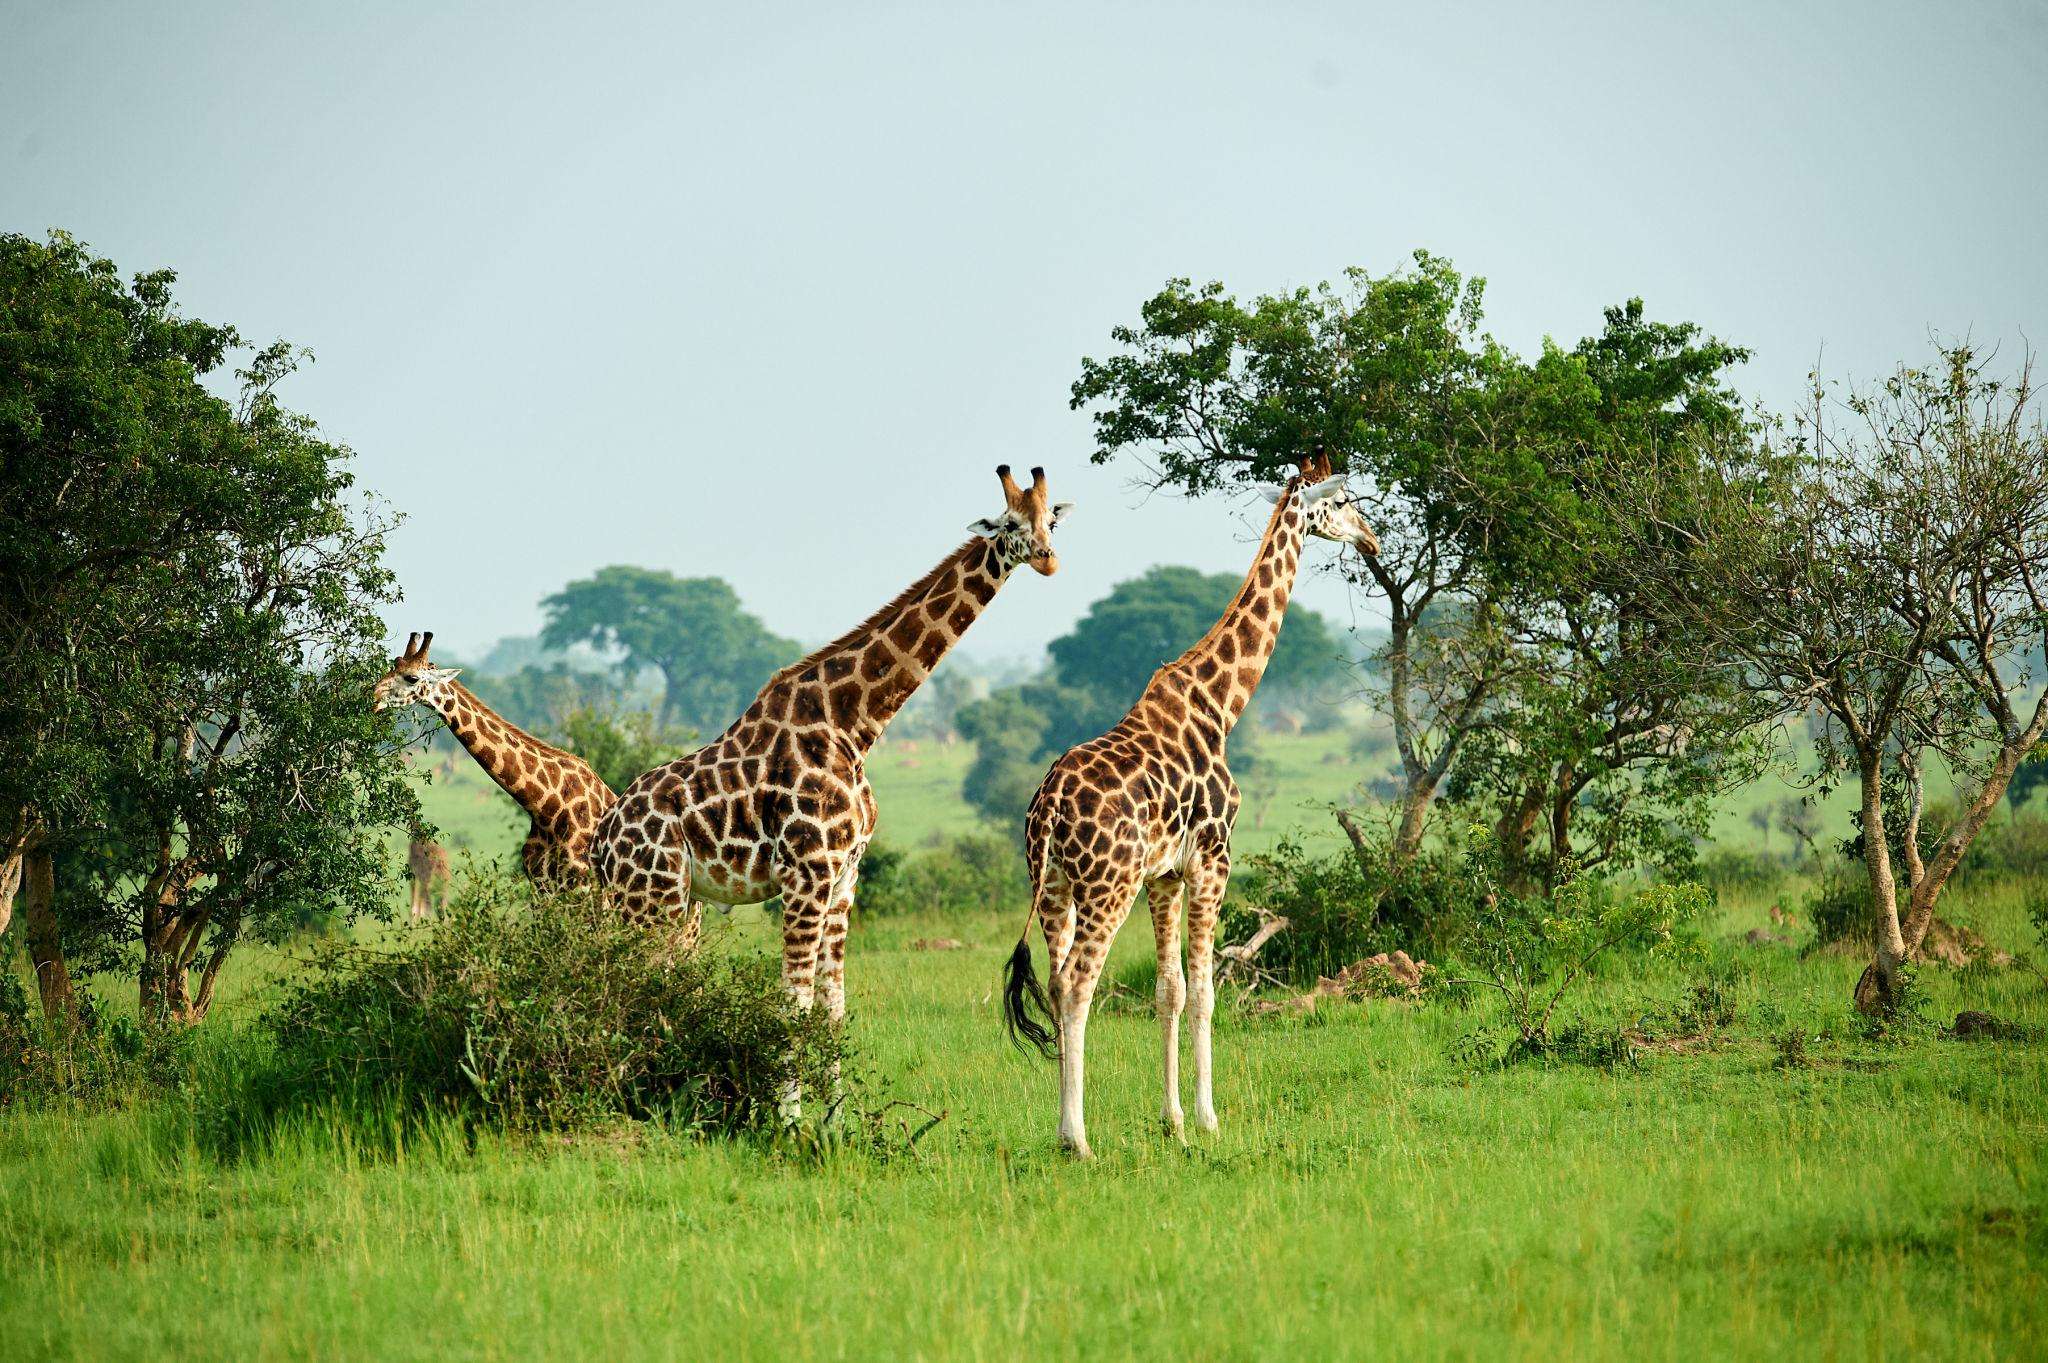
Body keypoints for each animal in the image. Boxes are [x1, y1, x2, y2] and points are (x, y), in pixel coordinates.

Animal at [373, 632, 617, 885]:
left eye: (412, 678)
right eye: (395, 663)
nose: (373, 694)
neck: (546, 808)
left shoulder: (584, 884)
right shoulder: (540, 885)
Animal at [591, 466, 1071, 1109]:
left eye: (1051, 521)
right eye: (1012, 523)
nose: (1048, 560)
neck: (855, 725)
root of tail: (603, 840)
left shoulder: (844, 879)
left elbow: (832, 1007)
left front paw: (836, 1115)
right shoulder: (807, 874)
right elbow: (792, 1007)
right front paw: (790, 1119)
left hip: (668, 901)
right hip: (653, 898)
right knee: (634, 988)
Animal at [1001, 456, 1378, 1157]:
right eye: (1342, 502)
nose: (1370, 540)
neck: (1222, 705)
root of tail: (1050, 809)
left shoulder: (1165, 875)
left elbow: (1168, 991)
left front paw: (1172, 1122)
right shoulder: (1211, 859)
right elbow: (1205, 992)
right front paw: (1208, 1119)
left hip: (1054, 886)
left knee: (1058, 982)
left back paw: (1061, 1130)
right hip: (1106, 886)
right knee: (1077, 986)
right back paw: (1078, 1140)